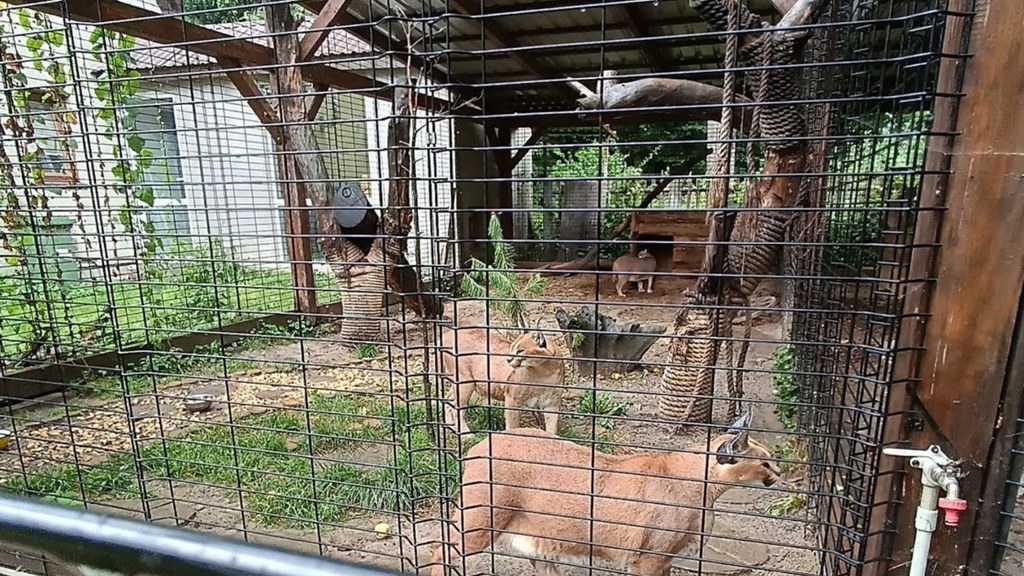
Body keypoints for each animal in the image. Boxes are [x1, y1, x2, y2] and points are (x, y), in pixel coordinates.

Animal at [436, 325, 565, 432]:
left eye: (520, 351)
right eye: (511, 349)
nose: (508, 359)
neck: (544, 372)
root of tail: (447, 333)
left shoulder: (552, 403)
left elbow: (552, 427)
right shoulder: (512, 399)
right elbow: (512, 425)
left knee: (448, 401)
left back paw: (450, 427)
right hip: (465, 382)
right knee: (457, 409)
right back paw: (465, 434)